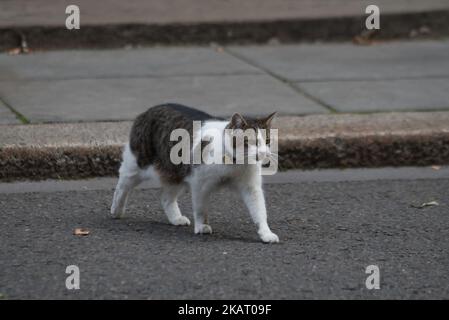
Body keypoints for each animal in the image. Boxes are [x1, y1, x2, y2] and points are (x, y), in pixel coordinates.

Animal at [110, 104, 278, 244]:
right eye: (252, 141)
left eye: (268, 141)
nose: (264, 153)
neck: (235, 163)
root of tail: (149, 110)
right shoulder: (199, 183)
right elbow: (201, 208)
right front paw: (202, 226)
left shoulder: (251, 188)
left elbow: (259, 211)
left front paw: (266, 233)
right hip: (137, 164)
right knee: (122, 186)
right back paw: (116, 210)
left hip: (176, 174)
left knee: (166, 198)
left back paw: (176, 218)